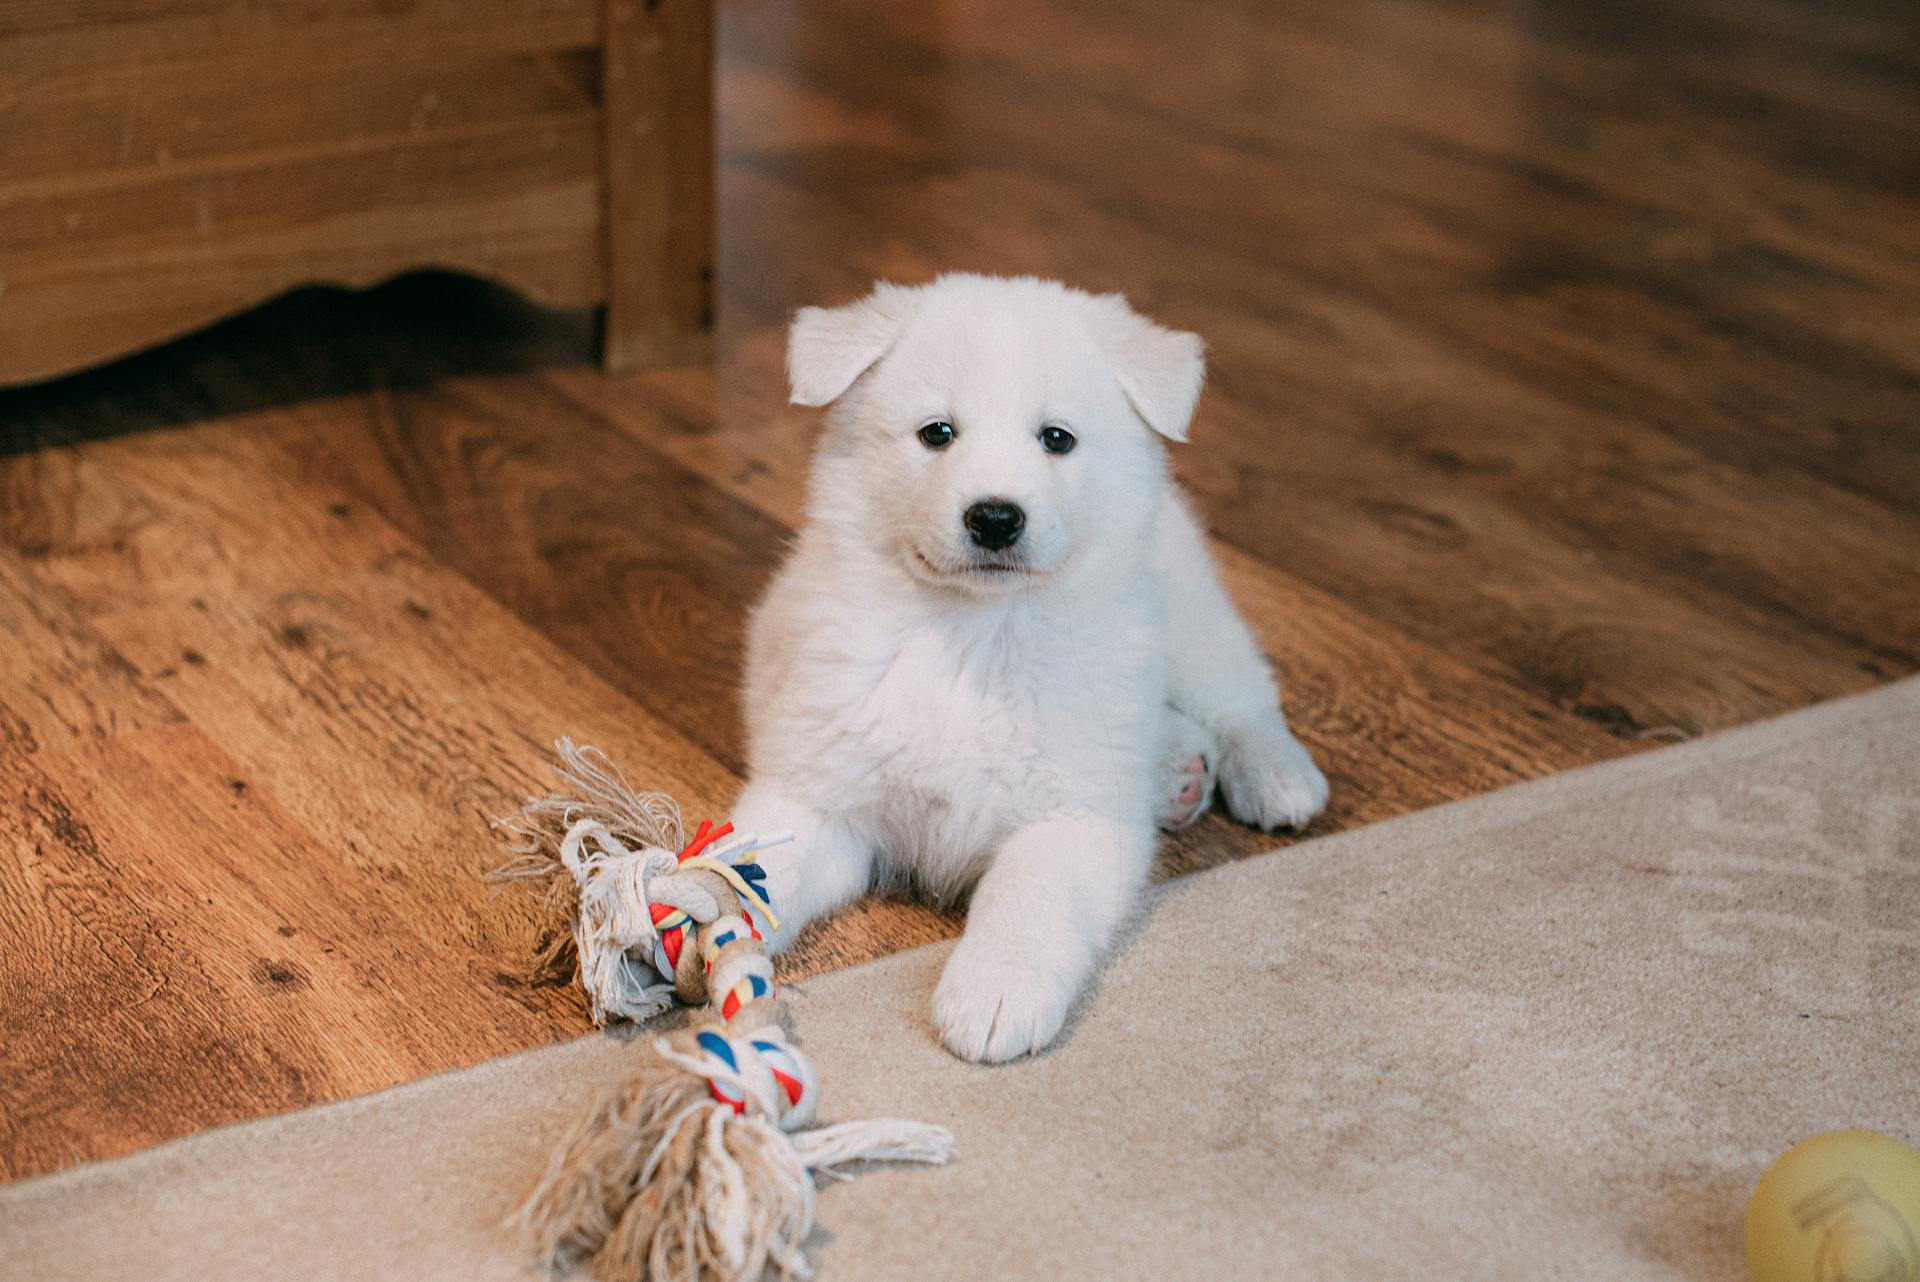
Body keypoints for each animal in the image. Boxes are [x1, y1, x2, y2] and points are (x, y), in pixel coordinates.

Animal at [729, 272, 1320, 1059]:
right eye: (937, 433)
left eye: (1056, 439)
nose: (995, 518)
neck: (975, 635)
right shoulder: (821, 793)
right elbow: (758, 863)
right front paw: (676, 918)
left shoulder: (1072, 819)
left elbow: (1029, 895)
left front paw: (995, 992)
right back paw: (1174, 772)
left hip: (1189, 612)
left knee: (1240, 694)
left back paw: (1276, 777)